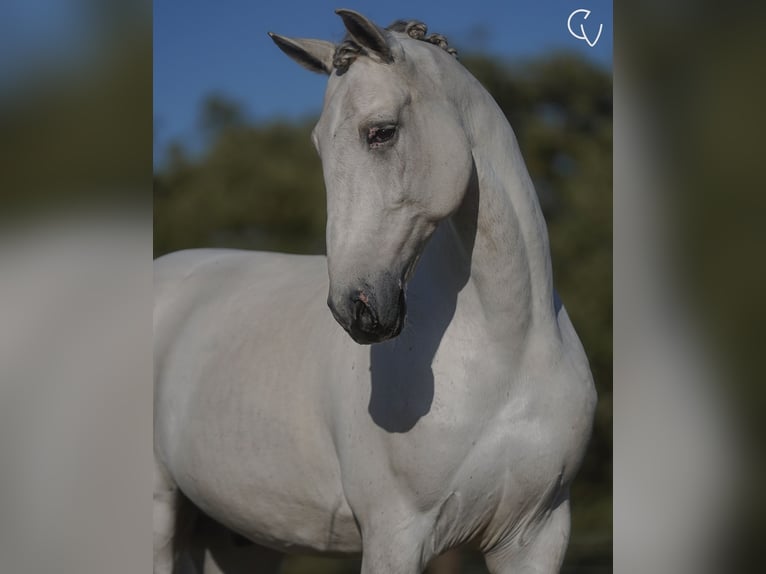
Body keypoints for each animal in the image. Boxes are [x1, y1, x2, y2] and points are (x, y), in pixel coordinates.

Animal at [154, 9, 600, 574]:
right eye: (319, 145)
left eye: (381, 132)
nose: (355, 308)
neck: (507, 351)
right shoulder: (396, 533)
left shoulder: (535, 536)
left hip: (239, 540)